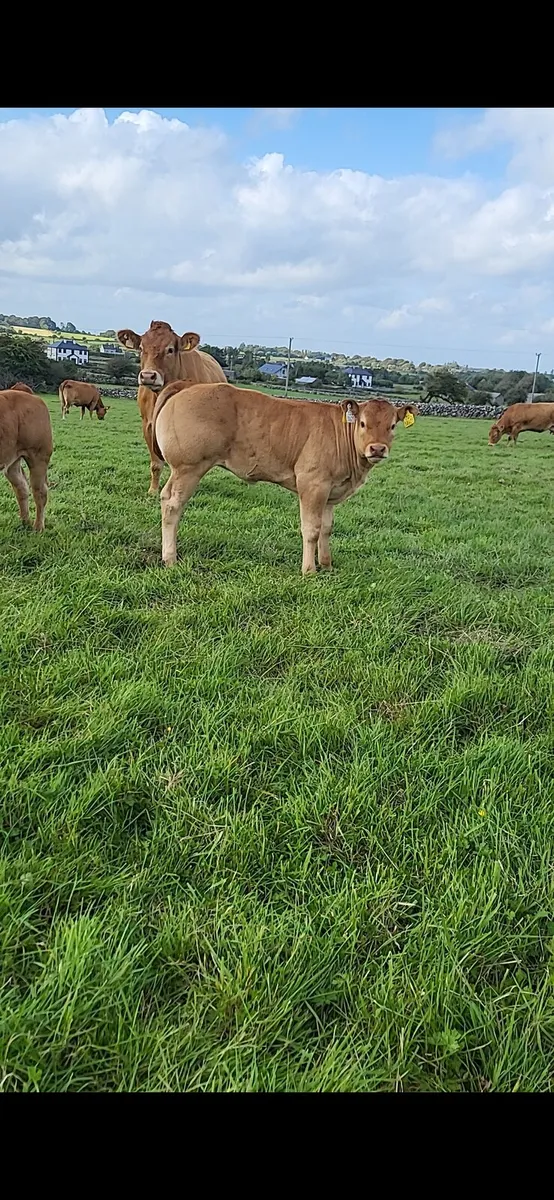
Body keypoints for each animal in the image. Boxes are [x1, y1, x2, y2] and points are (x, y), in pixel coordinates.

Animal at [0, 387, 53, 531]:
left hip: (39, 456)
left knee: (39, 492)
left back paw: (38, 527)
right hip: (12, 460)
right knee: (21, 487)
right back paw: (24, 522)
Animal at [116, 321, 227, 496]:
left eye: (170, 349)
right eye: (141, 348)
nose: (148, 376)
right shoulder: (148, 425)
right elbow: (156, 464)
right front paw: (153, 490)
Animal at [151, 381, 417, 574]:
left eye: (393, 426)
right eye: (362, 423)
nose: (377, 449)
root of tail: (187, 386)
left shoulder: (330, 491)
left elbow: (327, 528)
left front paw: (327, 565)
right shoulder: (313, 484)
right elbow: (311, 529)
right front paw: (309, 570)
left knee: (166, 499)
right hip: (189, 467)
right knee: (173, 506)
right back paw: (170, 558)